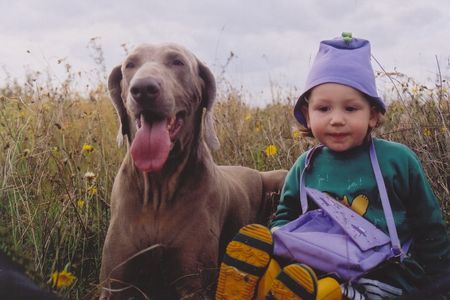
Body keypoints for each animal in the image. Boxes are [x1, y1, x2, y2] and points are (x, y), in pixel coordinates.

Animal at [100, 43, 286, 298]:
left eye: (177, 62)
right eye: (130, 64)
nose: (143, 89)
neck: (158, 189)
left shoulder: (194, 284)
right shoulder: (114, 283)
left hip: (281, 175)